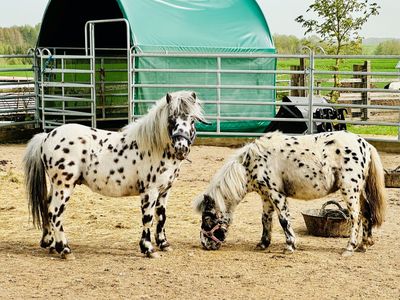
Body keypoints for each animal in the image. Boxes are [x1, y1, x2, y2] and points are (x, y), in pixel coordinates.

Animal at [24, 89, 209, 258]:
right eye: (171, 119)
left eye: (192, 120)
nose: (181, 148)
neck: (154, 147)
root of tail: (46, 136)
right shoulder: (150, 191)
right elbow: (148, 218)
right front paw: (148, 249)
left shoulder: (164, 191)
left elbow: (161, 216)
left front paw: (164, 244)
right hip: (64, 186)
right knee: (54, 212)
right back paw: (64, 249)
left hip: (56, 185)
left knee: (47, 207)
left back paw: (50, 244)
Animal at [195, 130, 388, 256]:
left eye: (207, 218)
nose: (205, 244)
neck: (250, 163)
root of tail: (365, 145)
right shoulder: (265, 196)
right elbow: (265, 219)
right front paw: (263, 244)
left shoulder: (276, 194)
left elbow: (283, 219)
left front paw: (289, 245)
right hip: (359, 191)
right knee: (366, 213)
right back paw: (364, 244)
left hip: (349, 190)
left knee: (355, 216)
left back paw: (349, 247)